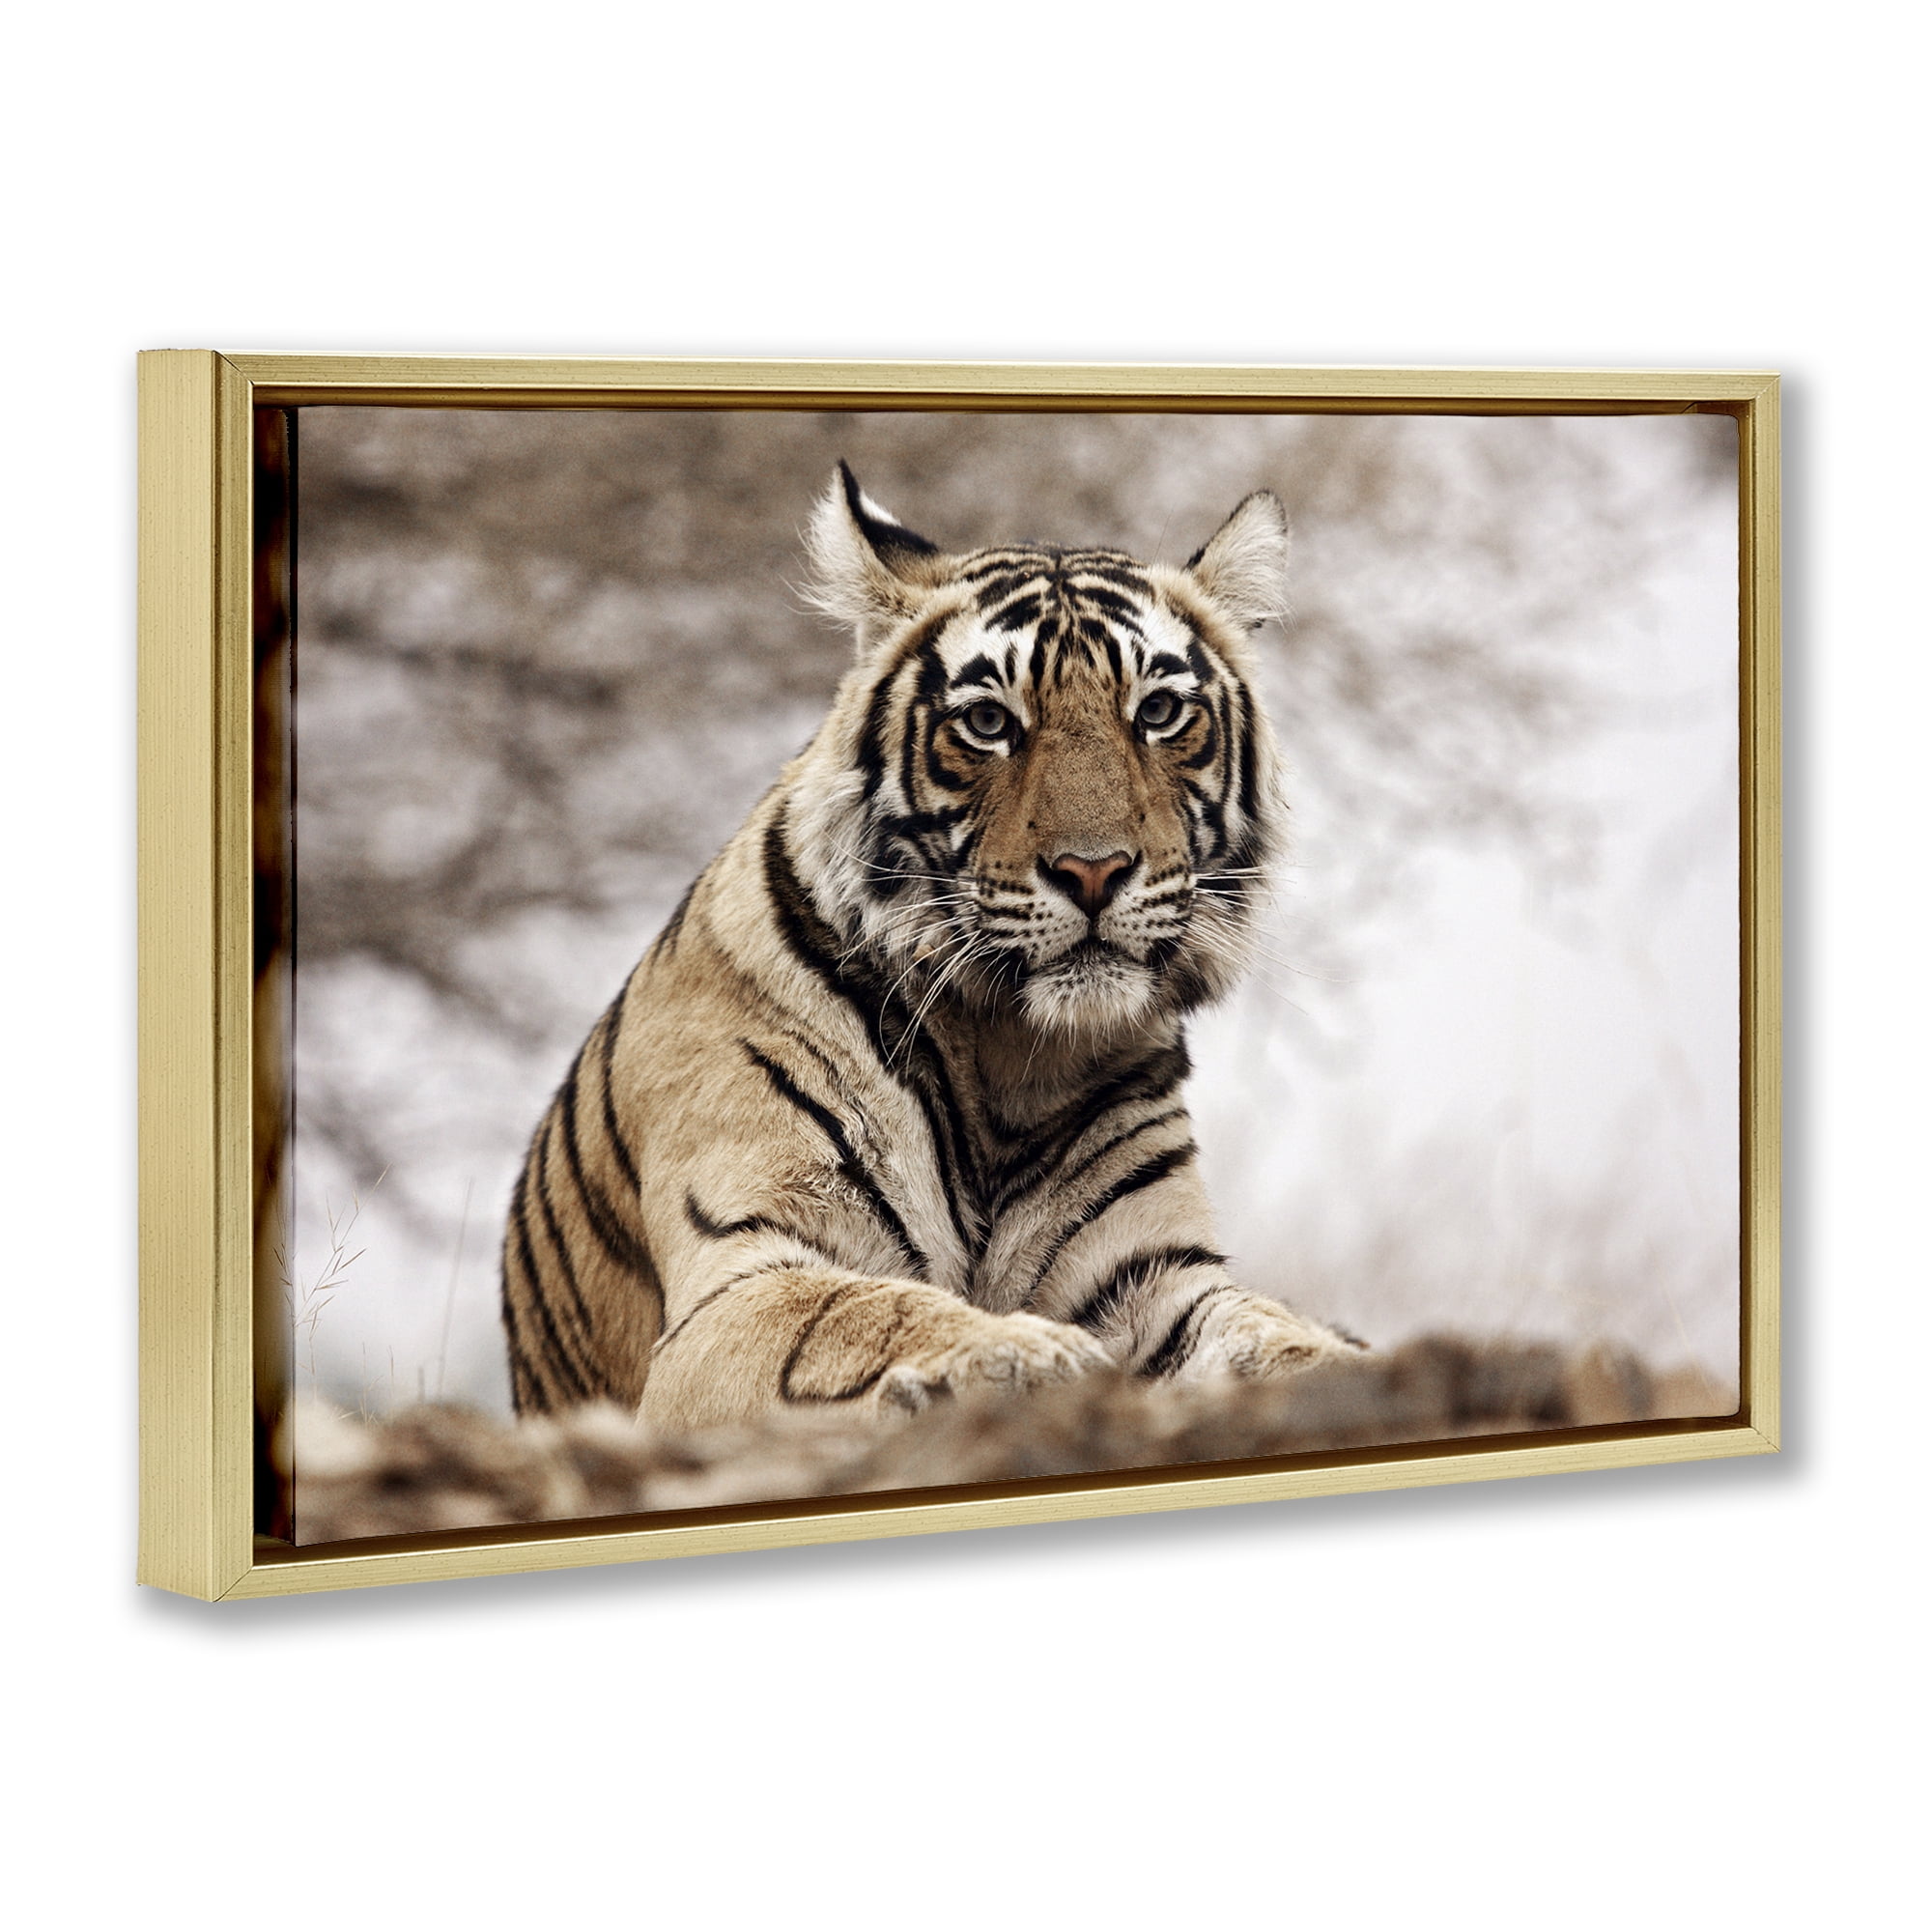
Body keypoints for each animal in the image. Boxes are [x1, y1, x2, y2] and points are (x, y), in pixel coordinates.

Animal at [500, 464, 1364, 1434]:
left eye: (1159, 712)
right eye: (988, 722)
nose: (1094, 870)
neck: (1012, 1056)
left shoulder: (1153, 1274)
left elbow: (1268, 1334)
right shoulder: (741, 1278)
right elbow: (866, 1312)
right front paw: (1025, 1353)